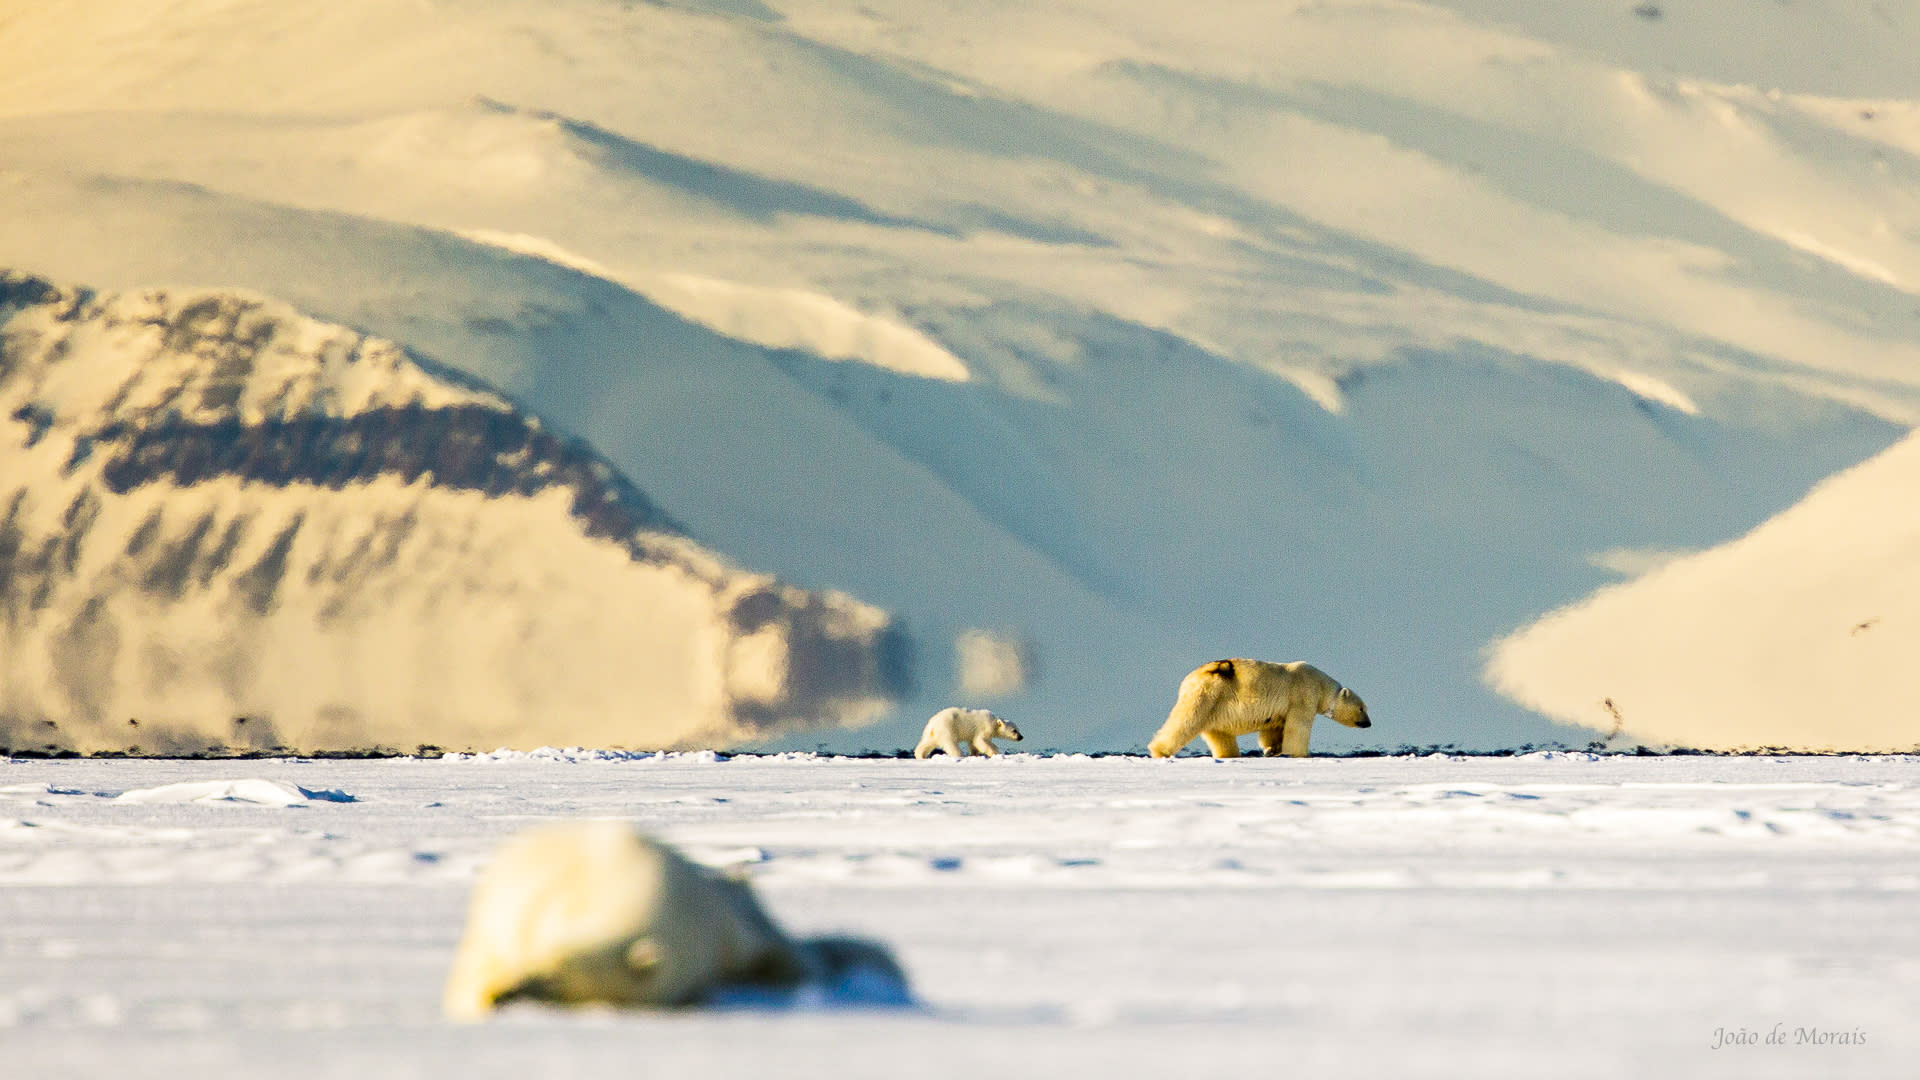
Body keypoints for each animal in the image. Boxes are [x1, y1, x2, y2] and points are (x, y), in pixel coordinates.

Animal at [1144, 657, 1374, 757]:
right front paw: (1298, 754)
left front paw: (1272, 749)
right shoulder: (1302, 694)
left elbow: (1274, 729)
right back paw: (1159, 751)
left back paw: (1229, 755)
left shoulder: (1281, 710)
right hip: (1208, 694)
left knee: (1220, 735)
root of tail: (1189, 679)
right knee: (1186, 721)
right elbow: (1298, 727)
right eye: (1362, 708)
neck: (1320, 684)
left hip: (1215, 706)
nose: (1369, 723)